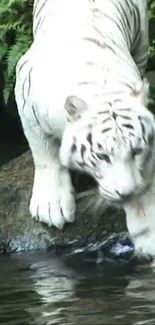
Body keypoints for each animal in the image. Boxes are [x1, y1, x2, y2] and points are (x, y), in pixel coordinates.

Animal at [14, 0, 155, 253]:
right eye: (102, 156)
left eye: (137, 151)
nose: (126, 192)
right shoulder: (25, 97)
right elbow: (44, 154)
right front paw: (51, 206)